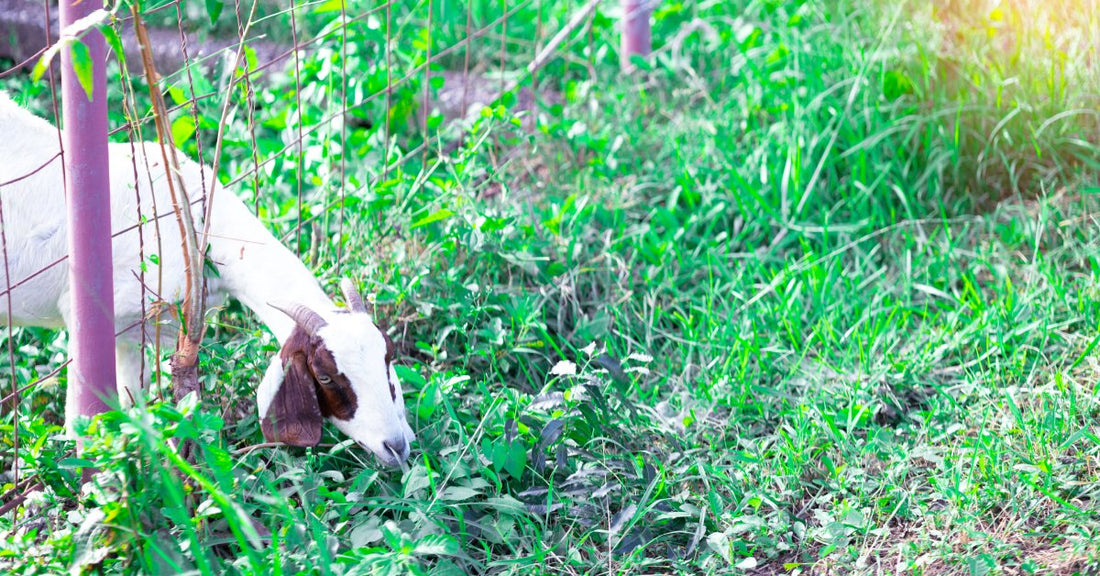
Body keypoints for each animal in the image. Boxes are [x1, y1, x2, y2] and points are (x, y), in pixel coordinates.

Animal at [0, 92, 414, 466]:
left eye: (388, 356)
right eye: (325, 377)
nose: (396, 447)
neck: (192, 220)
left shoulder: (137, 333)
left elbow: (133, 405)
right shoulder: (89, 322)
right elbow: (82, 420)